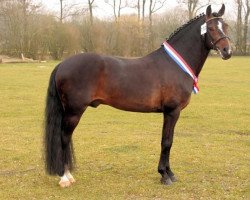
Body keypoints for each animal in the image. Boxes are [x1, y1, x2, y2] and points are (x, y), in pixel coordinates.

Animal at [44, 5, 231, 189]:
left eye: (226, 26)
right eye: (211, 28)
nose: (227, 51)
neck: (175, 65)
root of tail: (62, 64)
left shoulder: (171, 113)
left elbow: (169, 141)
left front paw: (170, 173)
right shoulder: (172, 111)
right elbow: (166, 142)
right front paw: (164, 175)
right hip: (73, 112)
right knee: (64, 138)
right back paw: (65, 178)